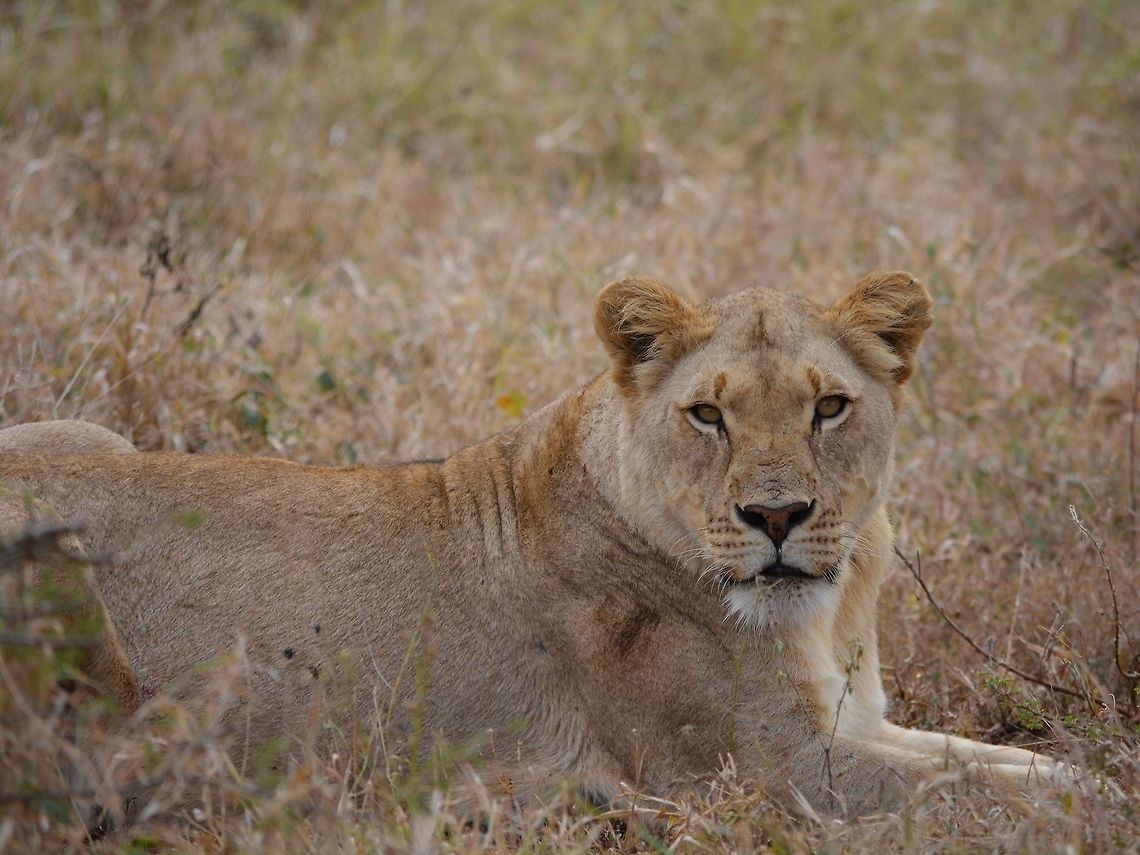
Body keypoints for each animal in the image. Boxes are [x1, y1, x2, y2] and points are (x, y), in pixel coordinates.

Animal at [0, 271, 1067, 815]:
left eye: (830, 406)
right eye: (709, 414)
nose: (777, 517)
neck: (828, 610)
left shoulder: (856, 720)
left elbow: (1001, 764)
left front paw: (1073, 772)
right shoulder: (767, 772)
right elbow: (982, 799)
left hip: (85, 431)